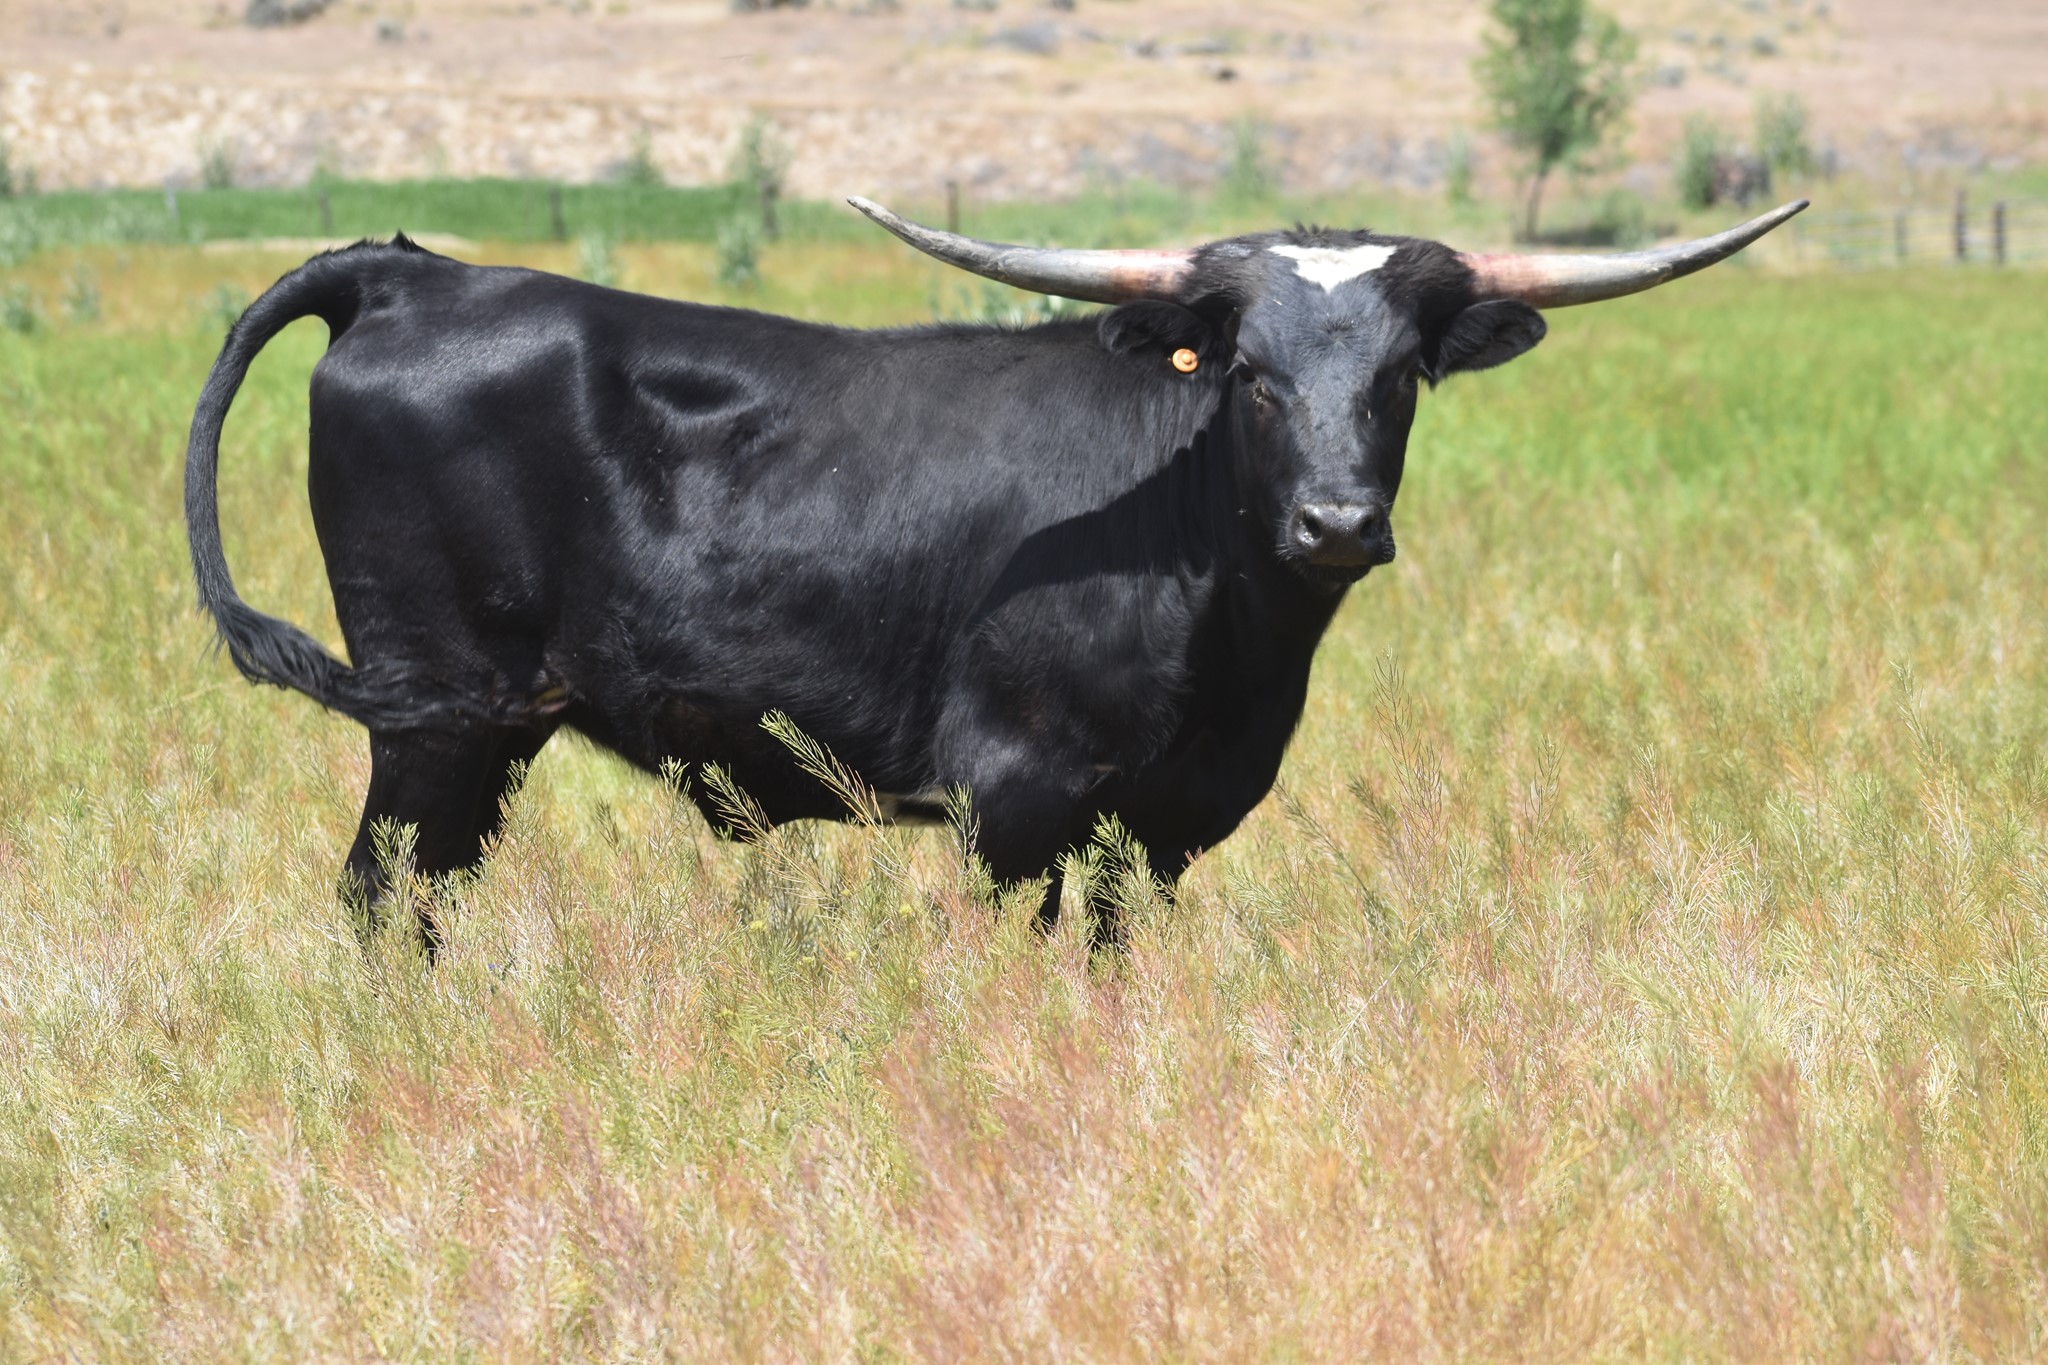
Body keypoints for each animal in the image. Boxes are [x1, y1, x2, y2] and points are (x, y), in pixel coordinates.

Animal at [185, 196, 1807, 950]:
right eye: (1254, 377)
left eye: (1402, 375)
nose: (1337, 524)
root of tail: (414, 272)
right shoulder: (1013, 799)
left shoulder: (1162, 823)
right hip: (434, 715)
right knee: (382, 894)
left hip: (481, 731)